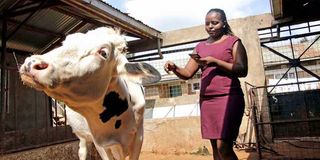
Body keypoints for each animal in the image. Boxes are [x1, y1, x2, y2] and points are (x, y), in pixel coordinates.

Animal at [18, 27, 161, 160]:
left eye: (103, 53)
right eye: (65, 43)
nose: (31, 62)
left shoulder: (139, 137)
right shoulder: (101, 143)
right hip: (83, 136)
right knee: (82, 150)